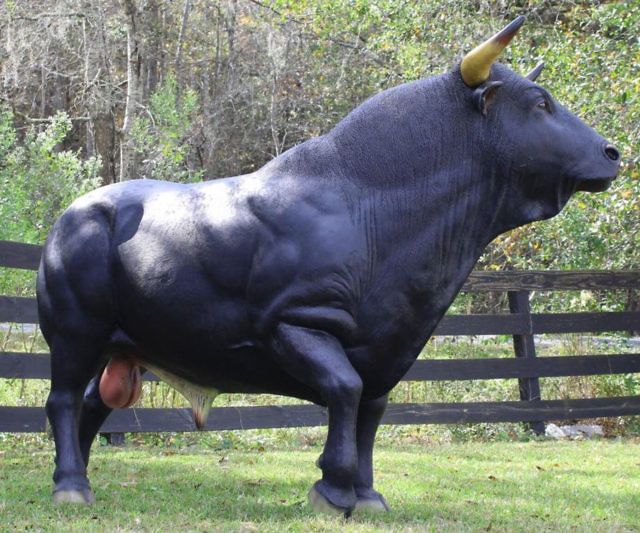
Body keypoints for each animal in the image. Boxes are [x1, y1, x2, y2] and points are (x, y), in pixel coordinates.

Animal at [37, 16, 620, 516]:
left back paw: (77, 478)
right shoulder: (296, 322)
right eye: (541, 102)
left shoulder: (389, 346)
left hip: (125, 345)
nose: (612, 152)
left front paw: (367, 494)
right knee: (62, 400)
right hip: (74, 332)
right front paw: (333, 487)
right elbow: (345, 391)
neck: (372, 209)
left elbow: (371, 412)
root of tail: (72, 213)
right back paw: (69, 485)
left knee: (94, 402)